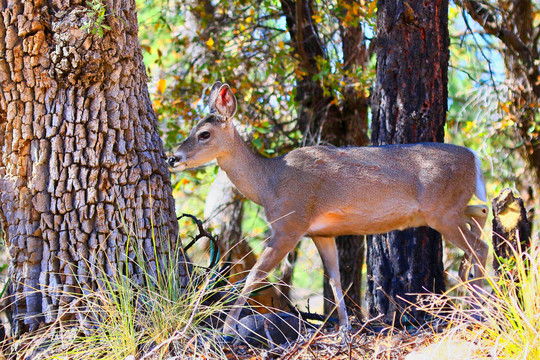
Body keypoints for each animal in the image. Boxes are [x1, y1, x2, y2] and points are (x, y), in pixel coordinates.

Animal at [169, 81, 490, 334]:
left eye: (204, 134)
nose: (173, 158)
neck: (269, 183)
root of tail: (474, 157)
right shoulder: (321, 233)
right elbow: (335, 279)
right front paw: (345, 328)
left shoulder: (289, 224)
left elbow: (254, 274)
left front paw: (226, 326)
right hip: (448, 209)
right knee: (481, 215)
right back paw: (471, 287)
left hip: (442, 210)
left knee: (480, 245)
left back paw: (479, 306)